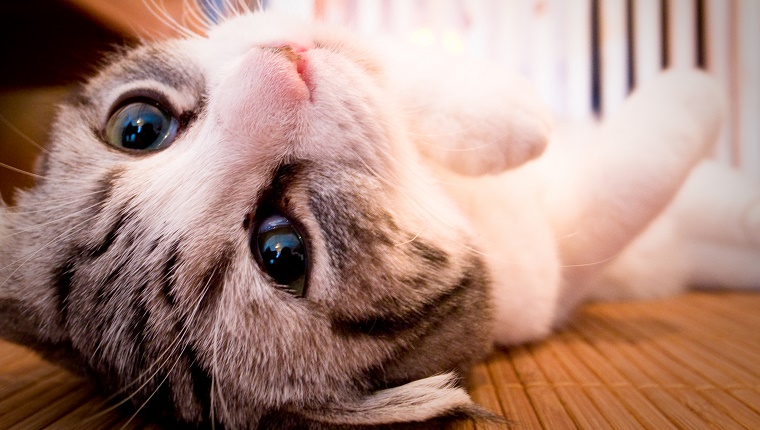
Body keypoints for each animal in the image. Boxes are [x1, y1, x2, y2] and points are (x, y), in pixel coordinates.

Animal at [1, 4, 760, 430]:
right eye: (281, 251)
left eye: (139, 127)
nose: (284, 72)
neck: (432, 188)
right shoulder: (547, 273)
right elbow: (632, 179)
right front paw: (692, 89)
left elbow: (340, 36)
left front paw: (501, 109)